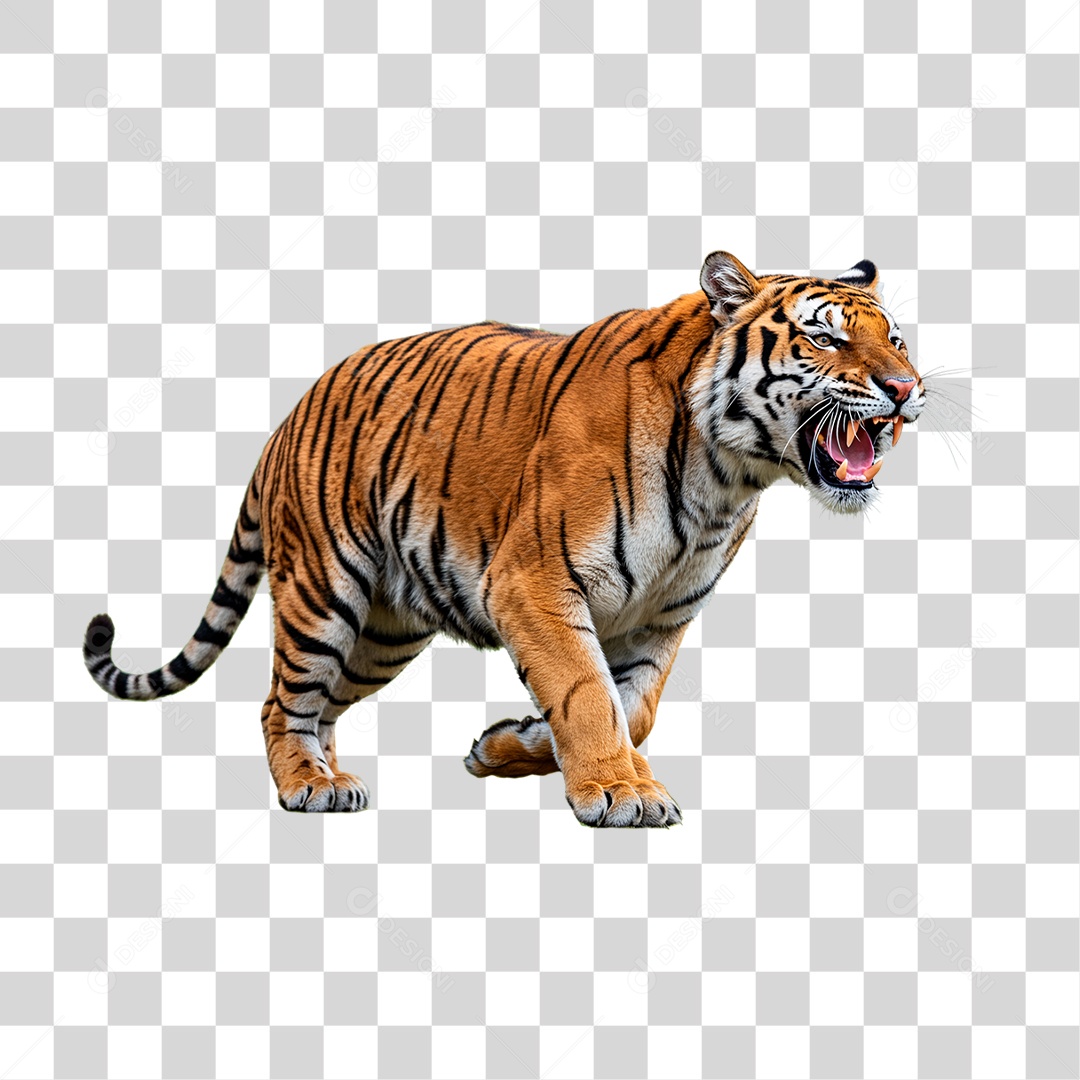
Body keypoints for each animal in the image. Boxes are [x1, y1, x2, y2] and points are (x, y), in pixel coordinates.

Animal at [83, 252, 925, 827]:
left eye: (899, 341)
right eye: (825, 339)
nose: (906, 390)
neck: (727, 478)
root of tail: (288, 416)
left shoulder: (662, 616)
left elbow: (632, 708)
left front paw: (509, 746)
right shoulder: (536, 582)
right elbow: (587, 693)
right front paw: (622, 792)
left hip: (383, 633)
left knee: (322, 705)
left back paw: (332, 774)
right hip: (324, 594)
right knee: (279, 701)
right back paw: (307, 785)